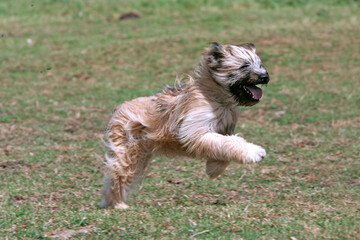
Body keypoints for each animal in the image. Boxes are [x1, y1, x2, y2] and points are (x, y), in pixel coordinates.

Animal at [100, 42, 268, 209]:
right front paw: (255, 152)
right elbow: (230, 142)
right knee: (117, 176)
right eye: (244, 66)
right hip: (127, 151)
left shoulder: (222, 130)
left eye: (259, 64)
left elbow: (225, 145)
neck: (218, 98)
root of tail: (119, 108)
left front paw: (213, 169)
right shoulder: (195, 131)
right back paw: (117, 204)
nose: (265, 76)